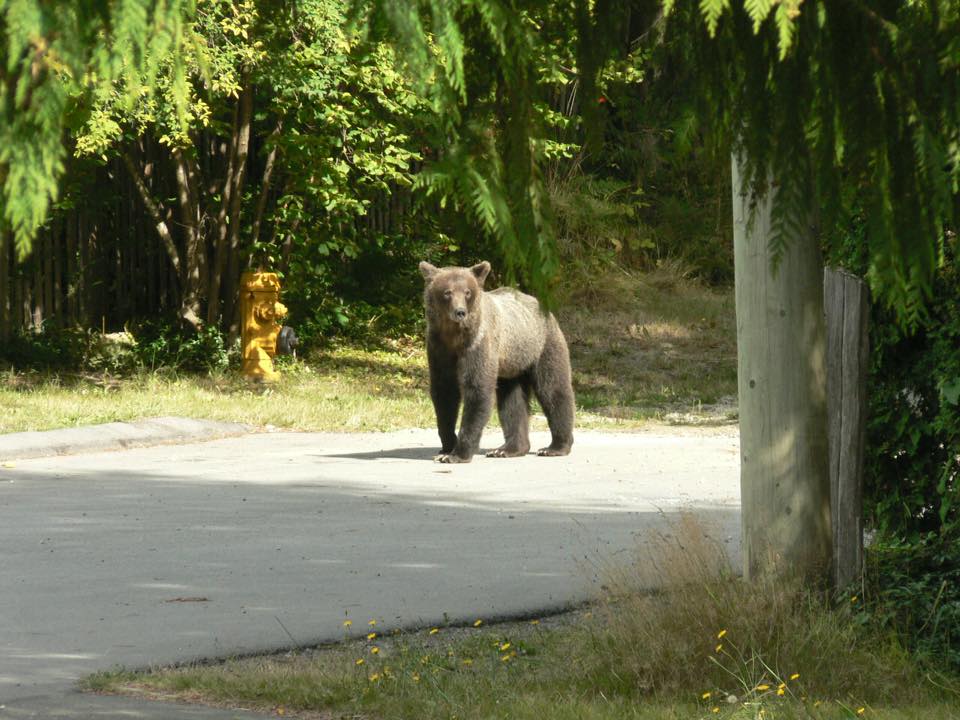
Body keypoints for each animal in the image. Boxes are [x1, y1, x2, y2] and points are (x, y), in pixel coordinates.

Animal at [419, 260, 575, 463]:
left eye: (467, 291)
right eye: (447, 292)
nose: (460, 312)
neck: (454, 336)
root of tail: (542, 307)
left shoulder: (478, 344)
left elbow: (477, 390)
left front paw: (457, 454)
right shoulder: (439, 349)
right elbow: (444, 393)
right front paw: (446, 447)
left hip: (542, 345)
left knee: (553, 389)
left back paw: (555, 446)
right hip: (512, 363)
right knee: (512, 402)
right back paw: (508, 449)